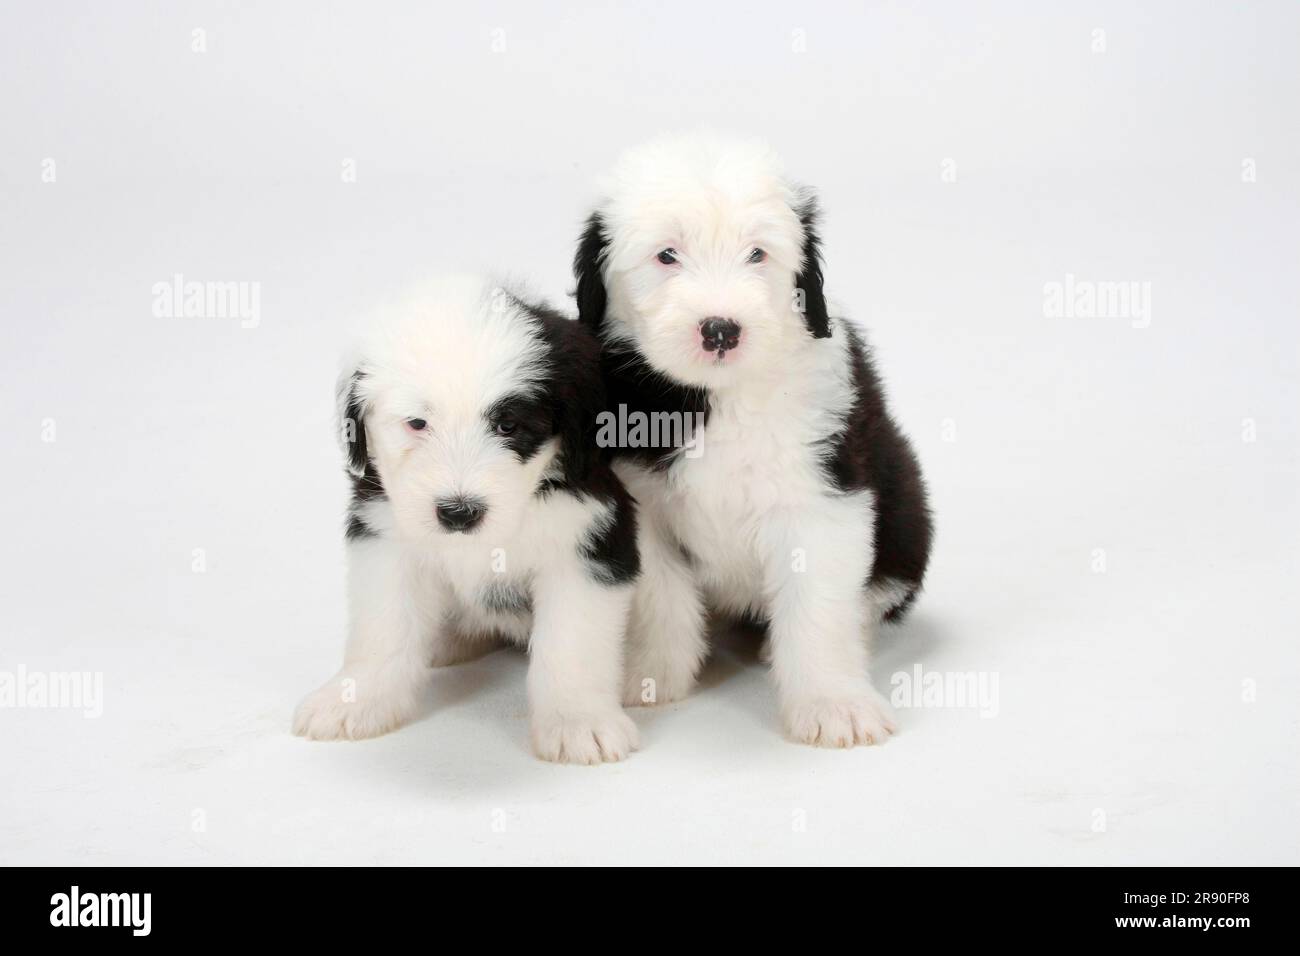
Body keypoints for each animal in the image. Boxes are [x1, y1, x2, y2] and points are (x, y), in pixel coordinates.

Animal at [292, 274, 642, 764]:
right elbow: (383, 626)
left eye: (508, 425)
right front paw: (356, 699)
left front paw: (578, 722)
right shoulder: (385, 532)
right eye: (417, 423)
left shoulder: (589, 539)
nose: (458, 512)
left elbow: (572, 642)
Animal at [574, 132, 930, 749]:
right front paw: (651, 676)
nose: (720, 330)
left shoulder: (822, 499)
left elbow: (818, 608)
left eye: (758, 254)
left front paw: (834, 703)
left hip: (906, 511)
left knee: (874, 595)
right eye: (667, 255)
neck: (724, 399)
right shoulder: (642, 505)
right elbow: (662, 597)